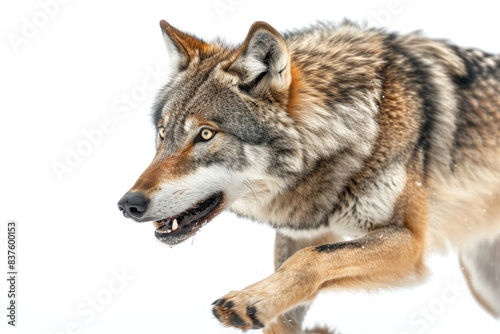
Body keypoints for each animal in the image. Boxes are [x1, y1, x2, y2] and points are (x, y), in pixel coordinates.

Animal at [118, 19, 500, 332]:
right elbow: (293, 285)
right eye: (162, 134)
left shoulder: (409, 241)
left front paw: (250, 299)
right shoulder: (299, 235)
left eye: (206, 134)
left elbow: (314, 258)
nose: (128, 204)